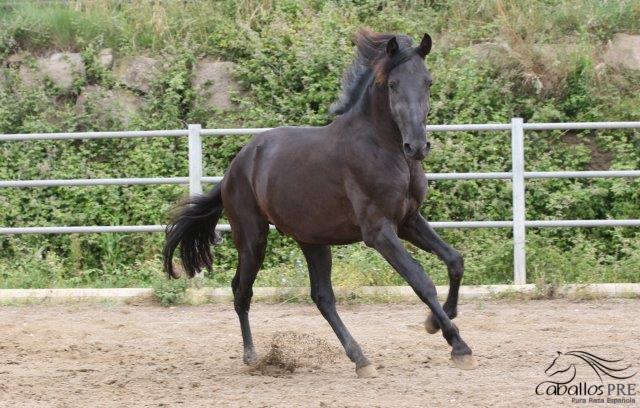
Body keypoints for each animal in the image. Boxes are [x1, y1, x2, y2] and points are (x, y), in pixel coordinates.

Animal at [164, 29, 476, 380]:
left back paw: (360, 359)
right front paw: (459, 346)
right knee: (241, 291)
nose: (417, 146)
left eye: (428, 82)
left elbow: (455, 261)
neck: (383, 148)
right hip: (253, 238)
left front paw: (435, 322)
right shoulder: (379, 232)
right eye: (393, 85)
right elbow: (421, 281)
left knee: (322, 297)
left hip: (312, 240)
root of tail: (235, 167)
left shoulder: (409, 221)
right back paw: (252, 356)